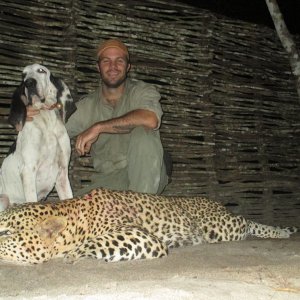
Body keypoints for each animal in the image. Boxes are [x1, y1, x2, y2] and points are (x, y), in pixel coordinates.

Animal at [0, 62, 76, 211]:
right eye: (23, 75)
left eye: (41, 70)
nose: (29, 83)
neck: (47, 121)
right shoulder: (28, 170)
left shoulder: (62, 173)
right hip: (3, 199)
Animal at [0, 188, 296, 264]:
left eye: (5, 232)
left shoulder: (140, 235)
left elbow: (94, 243)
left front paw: (72, 255)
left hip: (222, 228)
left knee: (246, 221)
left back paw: (282, 231)